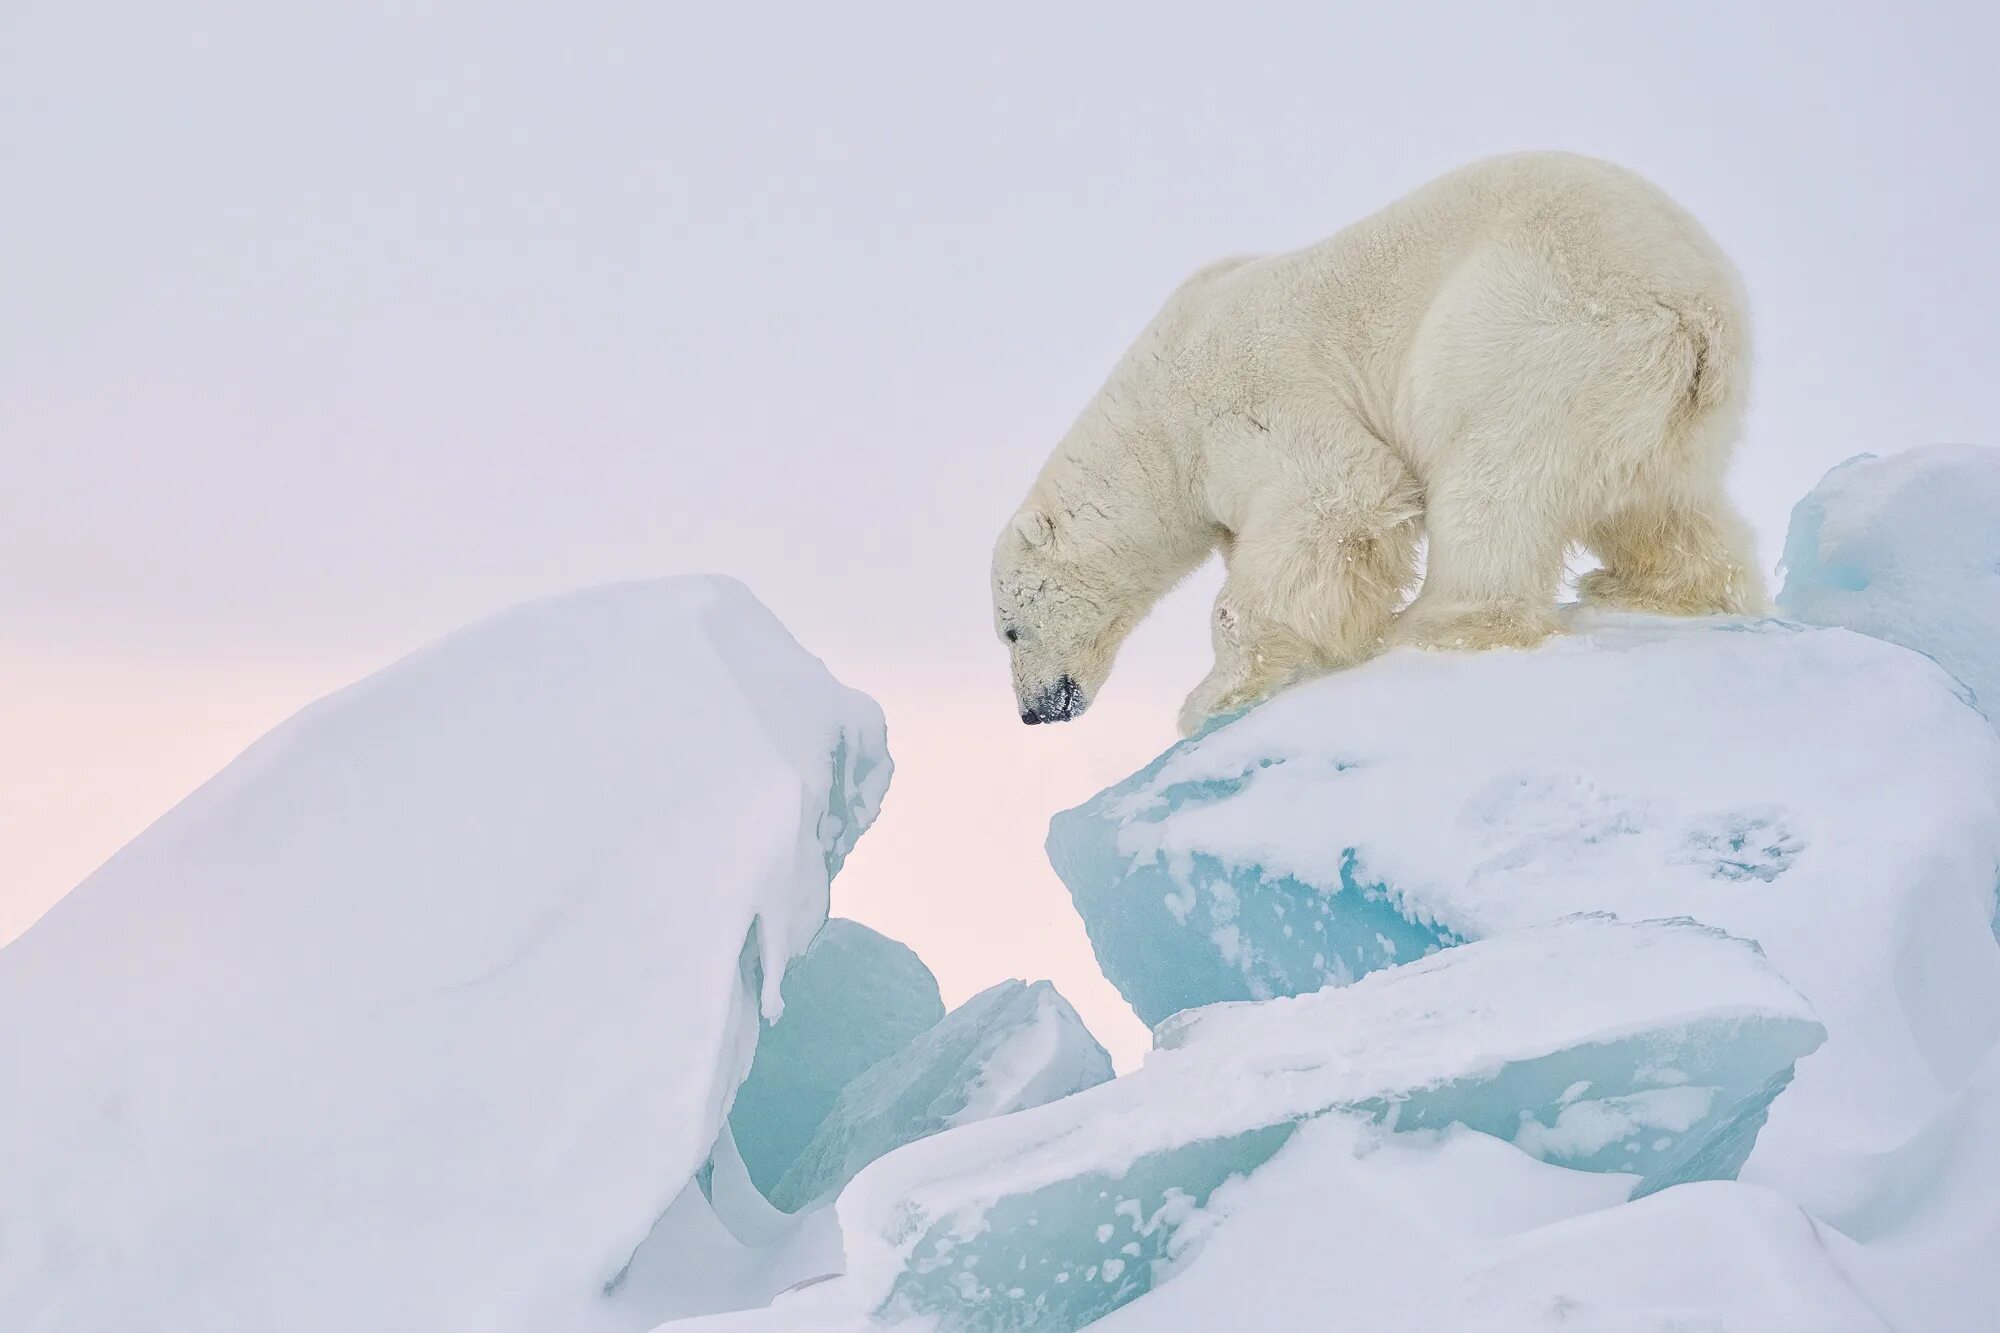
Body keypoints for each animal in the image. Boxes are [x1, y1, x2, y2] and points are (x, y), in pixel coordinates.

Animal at [992, 152, 1760, 732]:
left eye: (1009, 630)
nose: (1034, 712)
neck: (1156, 416)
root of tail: (1694, 304)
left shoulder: (1249, 400)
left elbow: (1338, 494)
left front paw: (1210, 698)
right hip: (1669, 402)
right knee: (1663, 503)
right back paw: (1656, 586)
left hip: (1540, 334)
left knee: (1491, 482)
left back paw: (1438, 623)